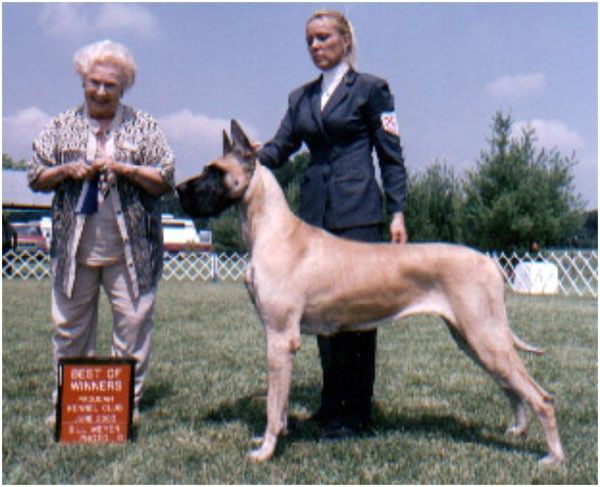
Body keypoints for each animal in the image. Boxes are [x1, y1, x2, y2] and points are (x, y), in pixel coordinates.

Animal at [176, 120, 564, 465]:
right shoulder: (280, 341)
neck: (272, 231)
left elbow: (273, 404)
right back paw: (518, 429)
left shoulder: (280, 337)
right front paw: (275, 436)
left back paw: (553, 457)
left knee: (541, 397)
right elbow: (280, 402)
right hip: (473, 338)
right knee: (512, 388)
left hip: (484, 335)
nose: (178, 189)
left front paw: (266, 451)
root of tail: (491, 263)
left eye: (214, 172)